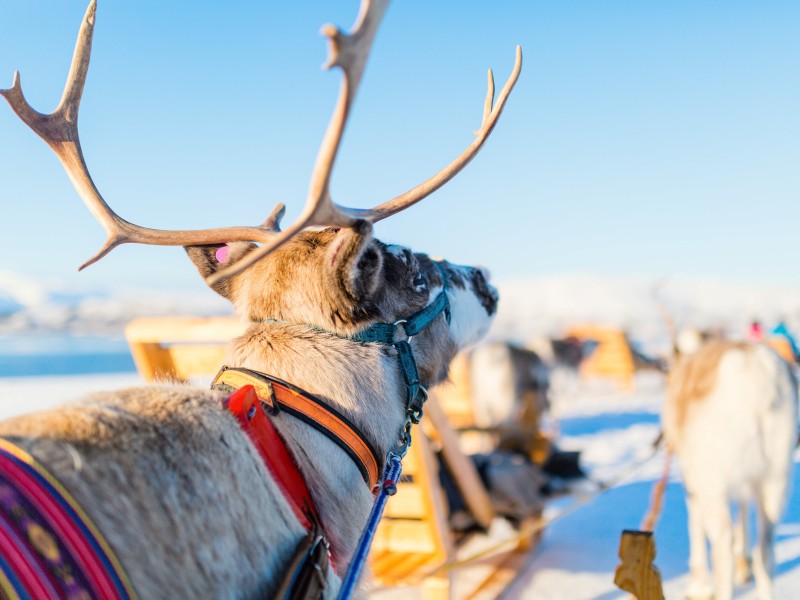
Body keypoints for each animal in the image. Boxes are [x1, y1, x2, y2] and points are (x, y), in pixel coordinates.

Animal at [662, 338, 797, 600]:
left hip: (713, 485)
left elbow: (695, 527)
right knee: (765, 553)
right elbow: (742, 515)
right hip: (775, 482)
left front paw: (698, 587)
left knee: (723, 548)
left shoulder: (694, 481)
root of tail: (758, 378)